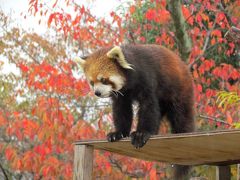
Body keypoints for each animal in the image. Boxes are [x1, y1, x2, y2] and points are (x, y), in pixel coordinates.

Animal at [75, 44, 195, 179]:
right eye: (92, 82)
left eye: (104, 80)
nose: (97, 93)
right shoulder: (121, 95)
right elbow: (122, 111)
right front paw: (118, 133)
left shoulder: (147, 78)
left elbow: (148, 106)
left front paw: (140, 134)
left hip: (179, 90)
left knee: (181, 115)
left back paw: (183, 131)